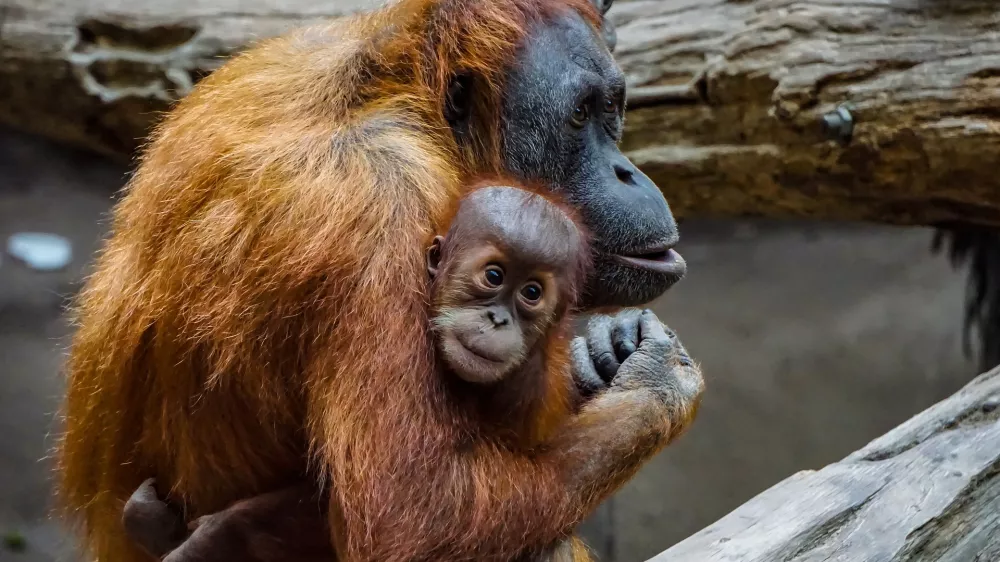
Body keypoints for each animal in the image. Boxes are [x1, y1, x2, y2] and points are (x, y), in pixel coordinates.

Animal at [55, 0, 705, 560]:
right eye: (578, 114)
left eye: (611, 109)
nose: (625, 173)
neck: (399, 99)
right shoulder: (381, 208)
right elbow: (414, 514)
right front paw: (659, 383)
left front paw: (603, 352)